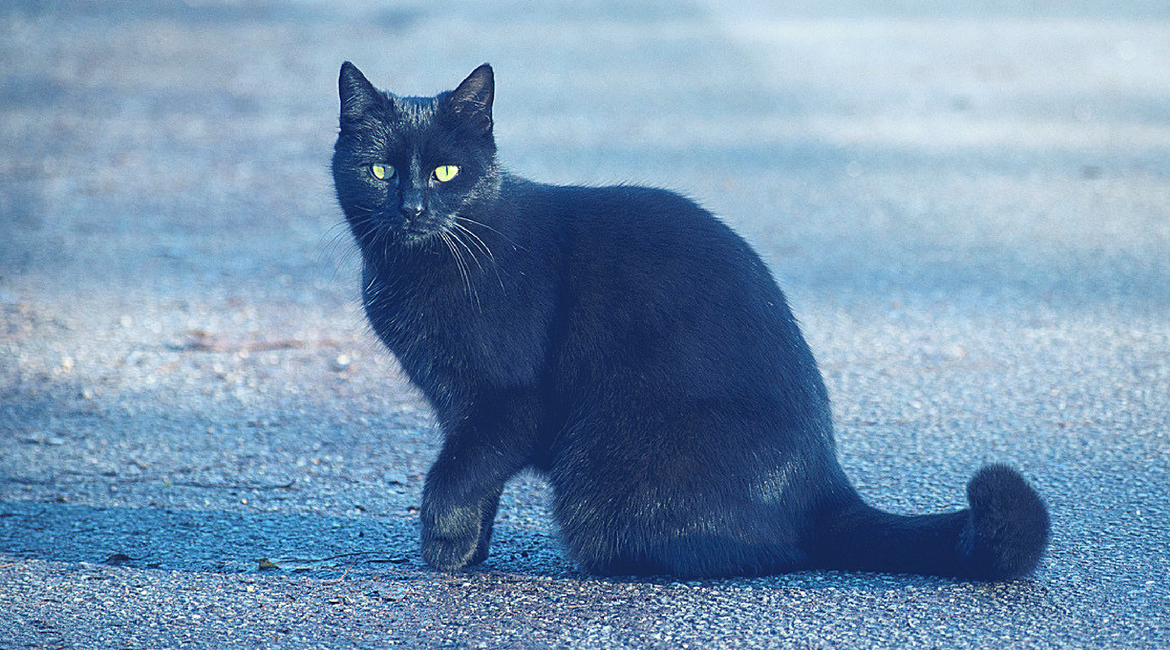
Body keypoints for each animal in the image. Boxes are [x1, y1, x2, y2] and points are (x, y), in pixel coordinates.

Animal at [329, 60, 1053, 579]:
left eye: (447, 171)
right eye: (380, 169)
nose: (412, 207)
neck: (418, 266)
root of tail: (823, 486)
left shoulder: (506, 400)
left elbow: (455, 475)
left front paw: (441, 549)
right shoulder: (462, 408)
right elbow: (476, 480)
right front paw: (469, 552)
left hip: (612, 469)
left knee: (755, 554)